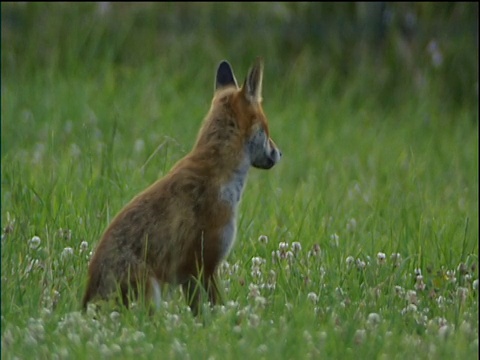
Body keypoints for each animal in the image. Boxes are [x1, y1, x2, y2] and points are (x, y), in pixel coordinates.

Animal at [82, 57, 282, 314]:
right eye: (267, 129)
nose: (279, 153)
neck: (219, 175)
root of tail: (85, 303)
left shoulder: (191, 274)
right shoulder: (204, 264)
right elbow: (216, 310)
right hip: (151, 290)